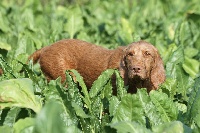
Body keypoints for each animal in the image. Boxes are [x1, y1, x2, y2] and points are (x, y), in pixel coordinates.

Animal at [28, 38, 166, 92]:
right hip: (61, 81)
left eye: (147, 54)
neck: (138, 84)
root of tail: (46, 48)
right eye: (130, 54)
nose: (136, 68)